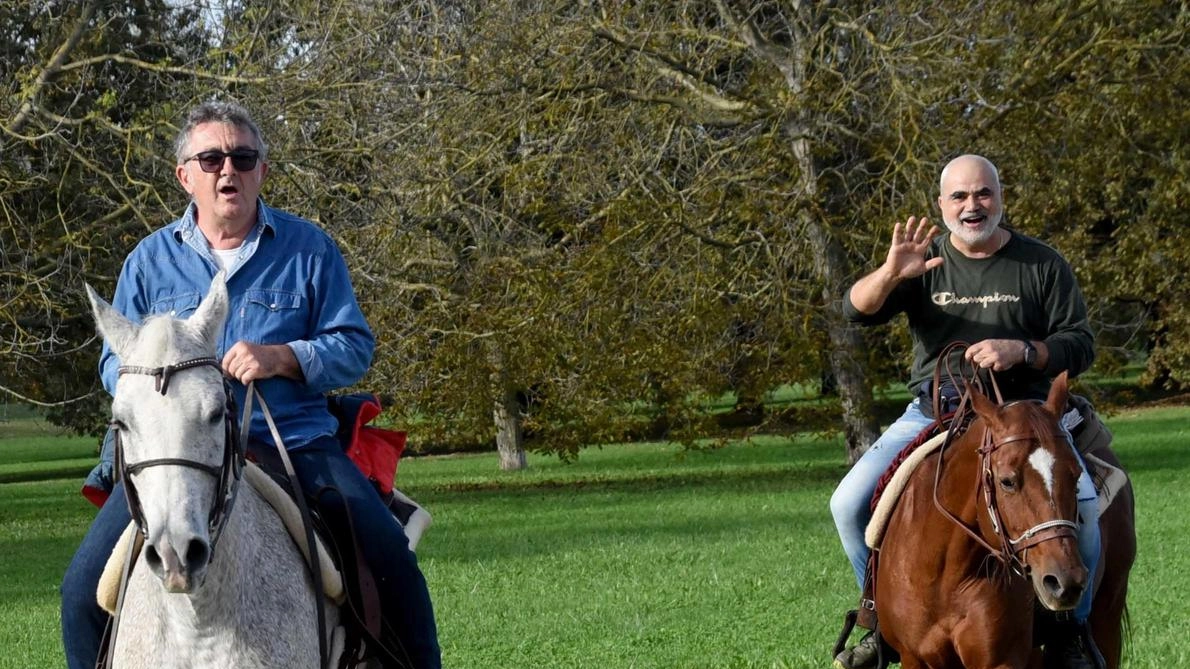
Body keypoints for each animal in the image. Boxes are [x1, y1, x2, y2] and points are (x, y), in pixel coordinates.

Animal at [875, 371, 1132, 661]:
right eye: (1007, 481)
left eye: (1076, 475)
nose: (1064, 581)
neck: (944, 575)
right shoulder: (914, 657)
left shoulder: (1004, 659)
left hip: (1108, 612)